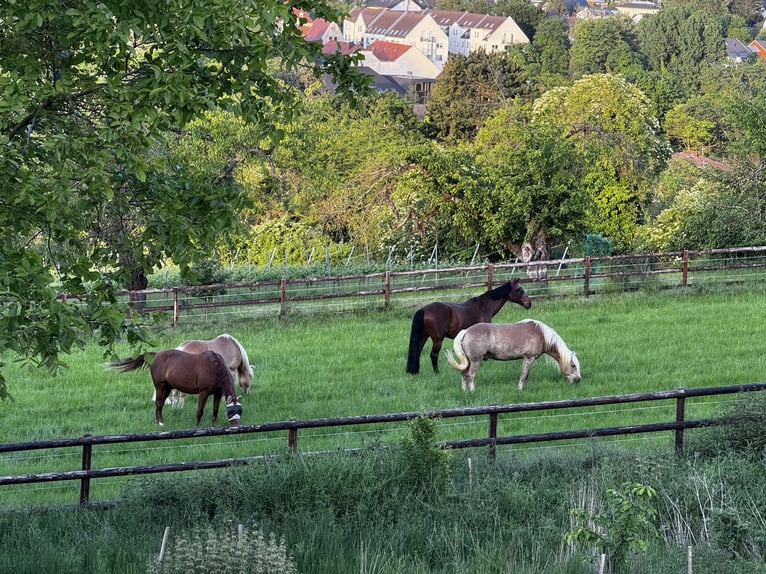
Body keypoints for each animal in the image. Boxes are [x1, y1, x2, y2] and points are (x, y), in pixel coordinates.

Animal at [106, 352, 242, 428]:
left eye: (239, 410)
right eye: (231, 411)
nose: (236, 427)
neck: (213, 366)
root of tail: (155, 354)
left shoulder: (217, 393)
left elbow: (215, 411)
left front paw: (214, 425)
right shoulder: (203, 393)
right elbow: (200, 411)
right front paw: (197, 426)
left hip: (167, 388)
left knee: (159, 404)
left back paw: (157, 421)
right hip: (160, 386)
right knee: (158, 403)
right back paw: (160, 422)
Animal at [408, 280, 536, 378]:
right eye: (519, 290)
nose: (529, 303)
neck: (484, 306)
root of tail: (425, 309)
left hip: (424, 337)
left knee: (417, 352)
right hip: (438, 339)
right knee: (433, 355)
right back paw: (437, 373)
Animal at [444, 320, 584, 396]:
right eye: (573, 365)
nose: (578, 380)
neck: (541, 335)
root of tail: (466, 331)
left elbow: (525, 376)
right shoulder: (528, 358)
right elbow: (523, 375)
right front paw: (520, 390)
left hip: (467, 361)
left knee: (463, 374)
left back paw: (464, 391)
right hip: (475, 361)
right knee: (470, 376)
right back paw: (473, 392)